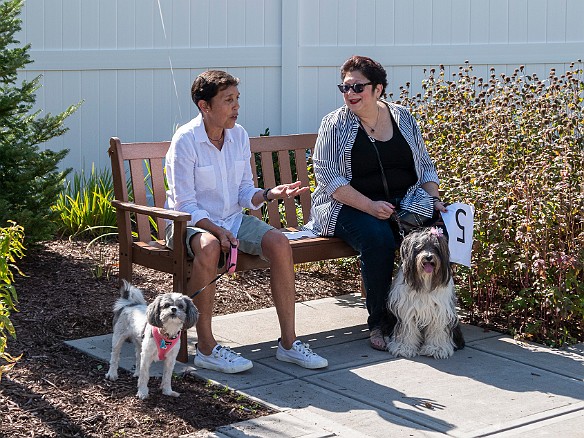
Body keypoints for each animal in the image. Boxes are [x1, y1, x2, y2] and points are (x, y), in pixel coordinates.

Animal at [384, 228, 466, 358]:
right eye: (419, 247)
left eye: (436, 247)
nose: (428, 257)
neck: (425, 283)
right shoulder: (407, 311)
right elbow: (407, 330)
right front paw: (404, 348)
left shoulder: (439, 312)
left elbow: (437, 330)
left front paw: (436, 348)